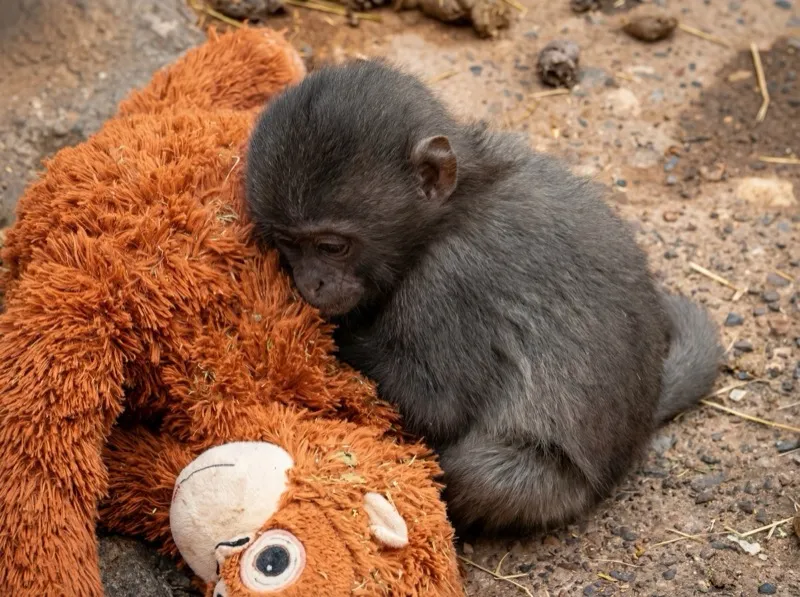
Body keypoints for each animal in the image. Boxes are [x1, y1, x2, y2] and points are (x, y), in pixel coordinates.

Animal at [245, 59, 722, 535]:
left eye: (331, 246)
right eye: (288, 244)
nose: (310, 283)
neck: (457, 207)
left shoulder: (451, 280)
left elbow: (434, 404)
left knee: (478, 472)